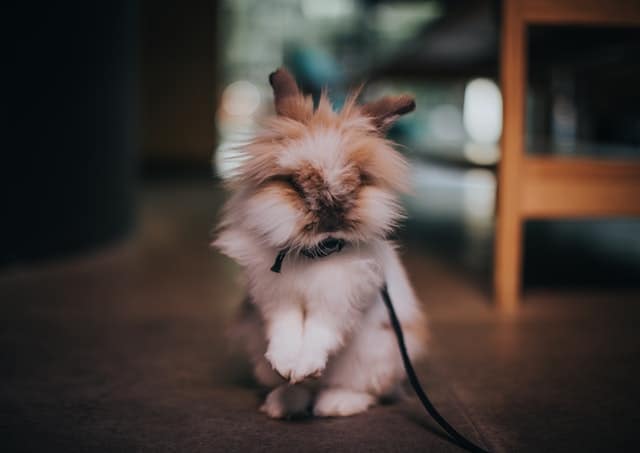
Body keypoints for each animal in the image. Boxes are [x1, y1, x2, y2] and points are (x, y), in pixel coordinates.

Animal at [212, 69, 428, 418]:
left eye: (358, 180)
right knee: (303, 390)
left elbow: (319, 331)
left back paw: (335, 404)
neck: (316, 252)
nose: (331, 213)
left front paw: (306, 366)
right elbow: (286, 329)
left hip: (378, 357)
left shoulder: (341, 300)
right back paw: (283, 402)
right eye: (294, 184)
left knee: (361, 390)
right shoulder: (274, 299)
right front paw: (288, 366)